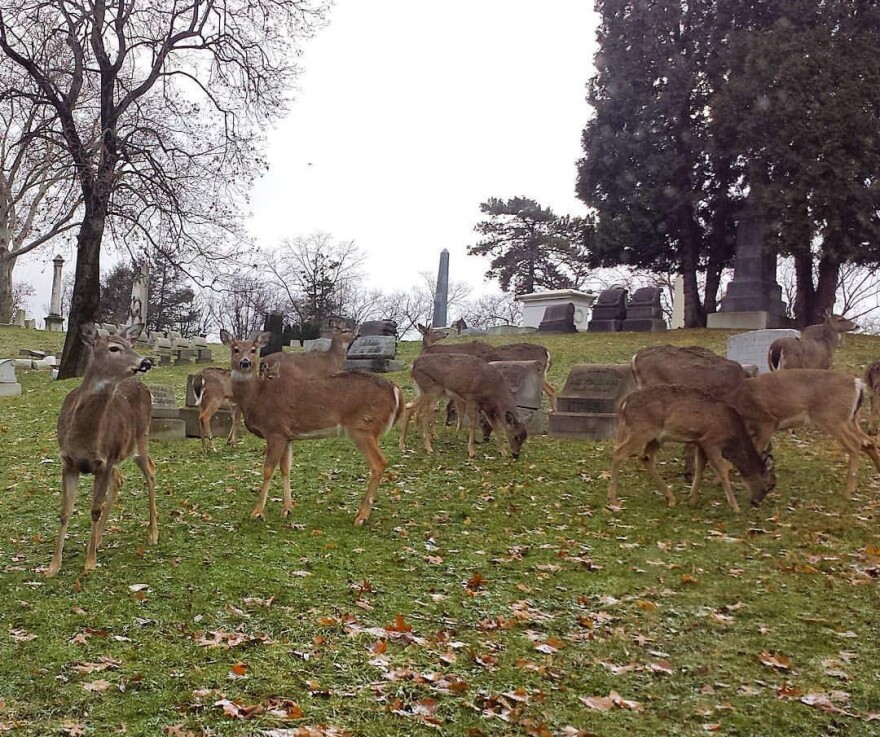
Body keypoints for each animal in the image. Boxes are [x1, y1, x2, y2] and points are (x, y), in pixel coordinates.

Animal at [48, 322, 156, 576]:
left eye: (130, 344)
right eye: (115, 347)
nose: (146, 362)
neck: (83, 438)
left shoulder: (104, 461)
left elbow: (94, 510)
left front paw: (89, 563)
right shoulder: (68, 462)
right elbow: (64, 511)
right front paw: (53, 566)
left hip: (140, 438)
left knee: (150, 472)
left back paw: (153, 533)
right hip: (120, 453)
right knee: (119, 480)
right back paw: (97, 540)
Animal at [218, 330, 404, 528]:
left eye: (253, 349)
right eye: (235, 349)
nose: (245, 362)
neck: (256, 397)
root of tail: (396, 390)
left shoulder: (275, 430)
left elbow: (268, 469)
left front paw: (257, 512)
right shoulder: (287, 435)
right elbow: (286, 468)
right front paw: (287, 509)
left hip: (363, 427)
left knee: (379, 463)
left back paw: (361, 516)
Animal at [398, 352, 528, 460]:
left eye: (525, 438)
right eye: (515, 436)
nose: (516, 455)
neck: (494, 390)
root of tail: (413, 365)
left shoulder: (488, 408)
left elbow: (495, 427)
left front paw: (503, 452)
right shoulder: (471, 398)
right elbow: (472, 424)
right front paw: (471, 451)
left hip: (426, 391)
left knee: (409, 406)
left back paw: (403, 444)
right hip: (432, 390)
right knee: (424, 413)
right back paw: (428, 448)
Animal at [608, 382, 772, 508]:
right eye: (769, 485)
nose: (756, 502)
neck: (733, 436)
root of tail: (624, 404)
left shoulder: (700, 442)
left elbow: (700, 467)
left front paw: (692, 499)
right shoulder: (711, 441)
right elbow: (722, 469)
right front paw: (735, 506)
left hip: (655, 437)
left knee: (645, 457)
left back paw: (671, 499)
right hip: (642, 430)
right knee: (619, 453)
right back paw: (613, 499)